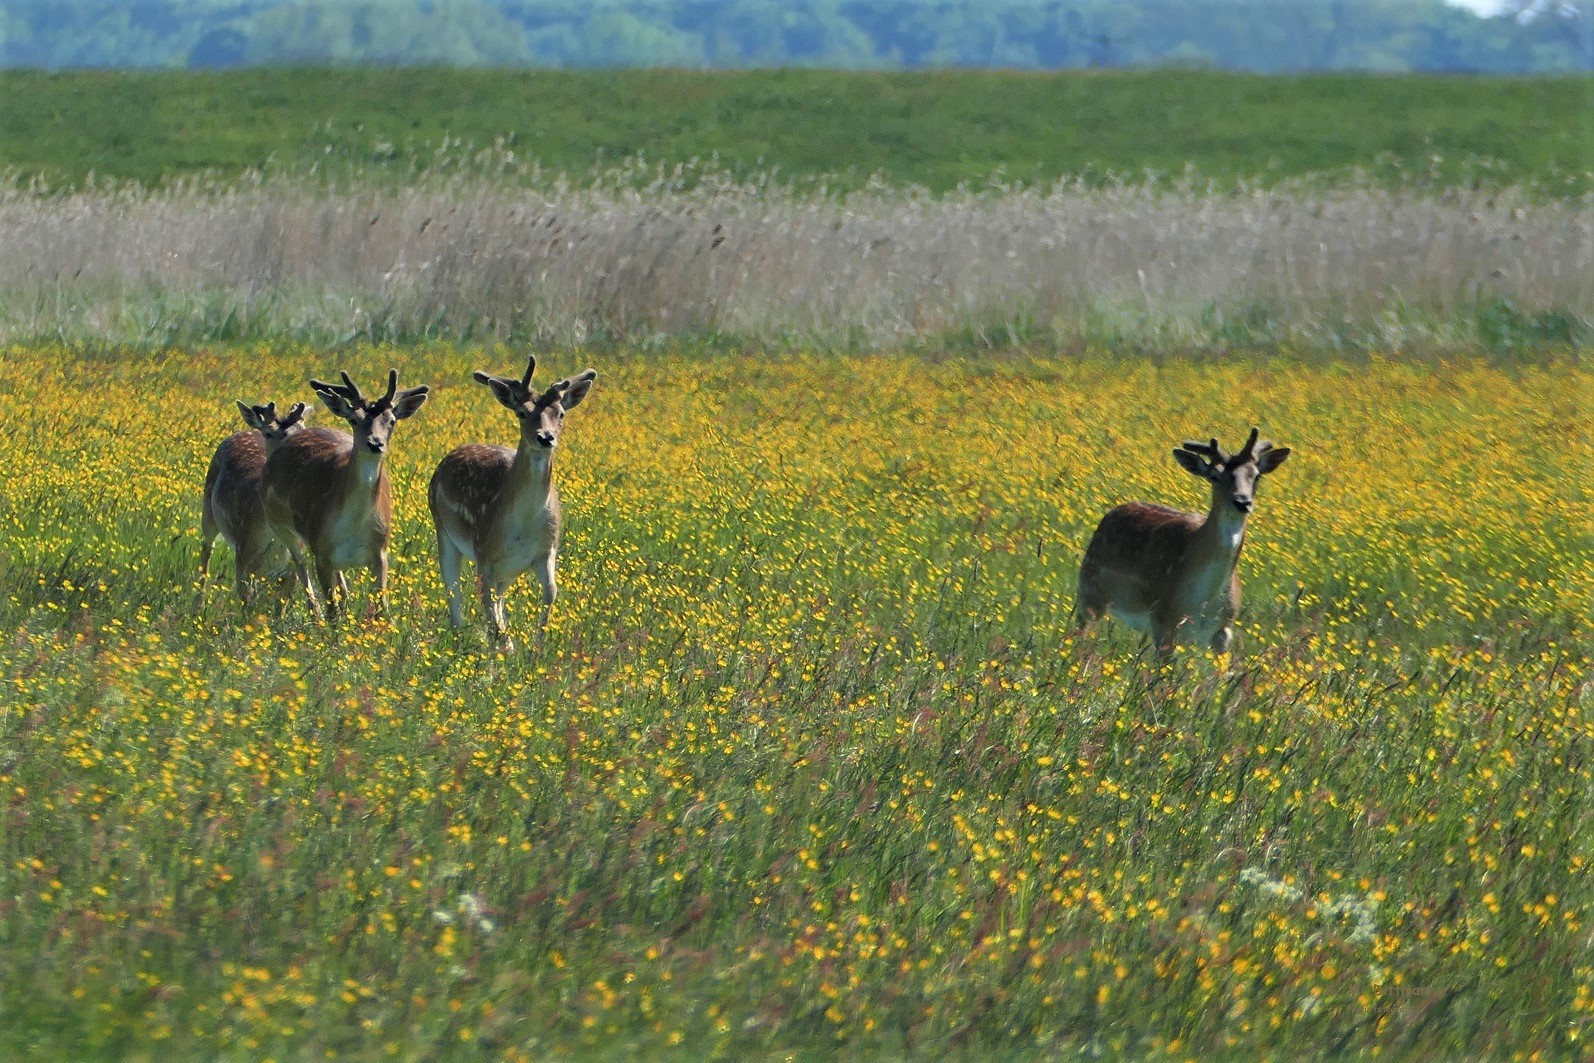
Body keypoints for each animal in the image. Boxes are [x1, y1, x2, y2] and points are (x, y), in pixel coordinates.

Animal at [198, 398, 307, 605]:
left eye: (303, 428)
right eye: (269, 432)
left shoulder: (293, 566)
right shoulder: (243, 553)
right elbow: (246, 604)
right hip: (208, 514)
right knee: (206, 554)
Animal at [264, 368, 433, 624]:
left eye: (391, 421)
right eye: (354, 419)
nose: (375, 443)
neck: (354, 525)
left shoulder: (380, 551)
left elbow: (382, 608)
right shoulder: (321, 549)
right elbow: (331, 610)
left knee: (340, 582)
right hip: (281, 526)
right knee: (300, 566)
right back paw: (316, 616)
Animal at [427, 356, 596, 653]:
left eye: (561, 414)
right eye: (522, 413)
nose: (545, 437)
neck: (523, 525)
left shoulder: (546, 549)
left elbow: (551, 592)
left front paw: (537, 649)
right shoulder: (484, 551)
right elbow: (485, 600)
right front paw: (506, 649)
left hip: (506, 570)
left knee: (496, 597)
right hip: (443, 529)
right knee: (453, 589)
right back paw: (460, 637)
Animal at [1071, 423, 1294, 656]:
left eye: (1257, 476)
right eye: (1214, 476)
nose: (1242, 502)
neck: (1203, 599)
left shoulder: (1225, 628)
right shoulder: (1164, 619)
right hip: (1089, 592)